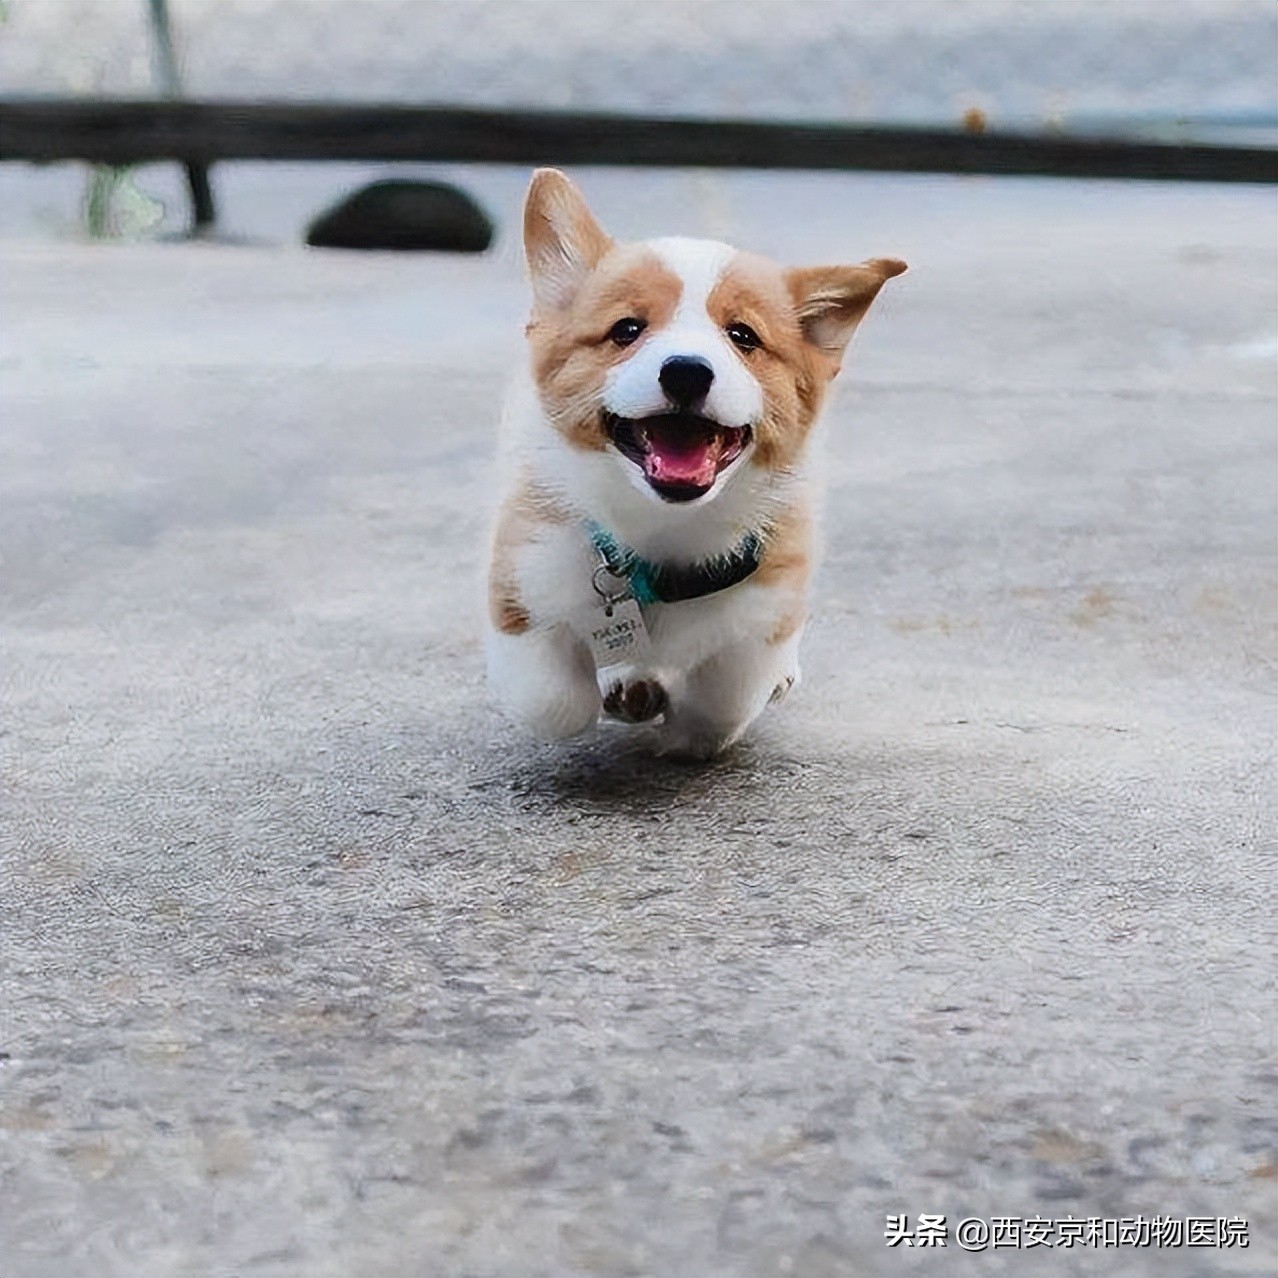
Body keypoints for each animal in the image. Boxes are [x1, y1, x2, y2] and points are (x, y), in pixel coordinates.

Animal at [483, 164, 904, 751]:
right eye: (627, 330)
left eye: (742, 336)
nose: (686, 371)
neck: (663, 530)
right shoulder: (526, 570)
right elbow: (554, 700)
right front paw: (614, 688)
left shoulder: (768, 601)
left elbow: (722, 701)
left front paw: (689, 731)